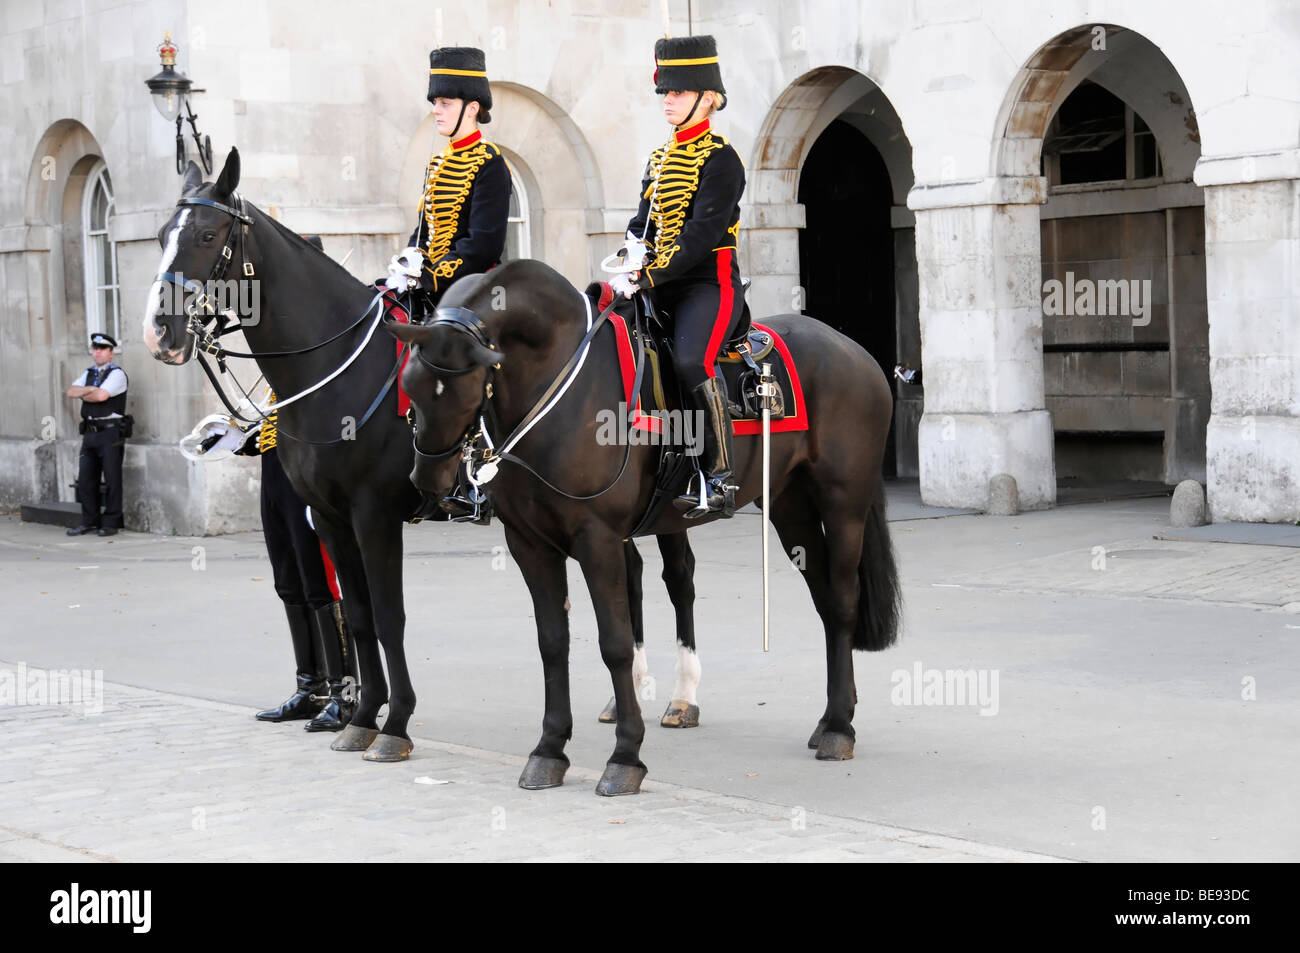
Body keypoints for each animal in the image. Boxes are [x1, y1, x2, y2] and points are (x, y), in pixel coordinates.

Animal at [143, 150, 707, 759]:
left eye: (206, 235)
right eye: (161, 236)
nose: (158, 333)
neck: (335, 368)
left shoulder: (374, 514)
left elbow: (389, 617)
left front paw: (393, 722)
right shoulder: (331, 518)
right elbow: (358, 616)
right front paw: (362, 714)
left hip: (660, 507)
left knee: (678, 577)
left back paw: (682, 696)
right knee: (632, 573)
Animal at [384, 256, 899, 790]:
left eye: (463, 387)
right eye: (410, 385)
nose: (428, 480)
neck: (556, 382)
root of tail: (850, 346)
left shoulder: (597, 539)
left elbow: (615, 643)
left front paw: (625, 756)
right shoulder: (529, 542)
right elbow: (552, 643)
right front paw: (549, 749)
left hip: (843, 504)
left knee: (842, 601)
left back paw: (838, 729)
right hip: (790, 507)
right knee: (823, 601)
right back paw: (829, 718)